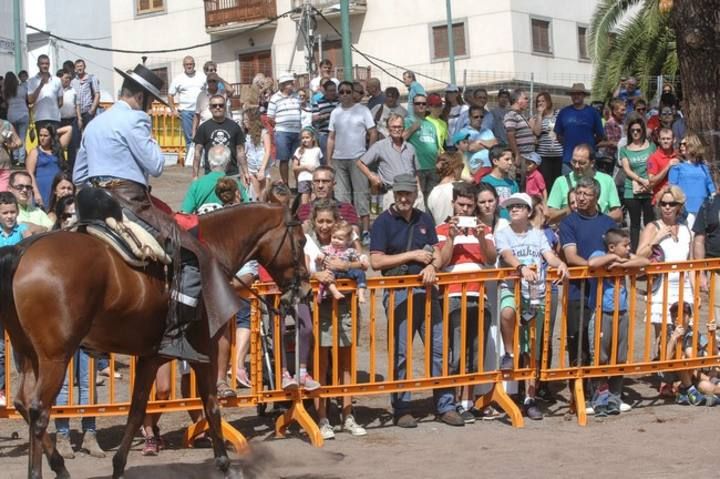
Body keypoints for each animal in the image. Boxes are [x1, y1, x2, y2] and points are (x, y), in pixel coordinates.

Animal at [0, 199, 310, 479]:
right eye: (302, 240)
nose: (305, 289)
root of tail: (23, 251)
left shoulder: (151, 357)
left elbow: (137, 409)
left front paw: (118, 467)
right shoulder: (204, 352)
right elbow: (211, 404)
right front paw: (223, 464)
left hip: (29, 354)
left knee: (23, 403)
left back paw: (60, 467)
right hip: (56, 356)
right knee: (39, 410)